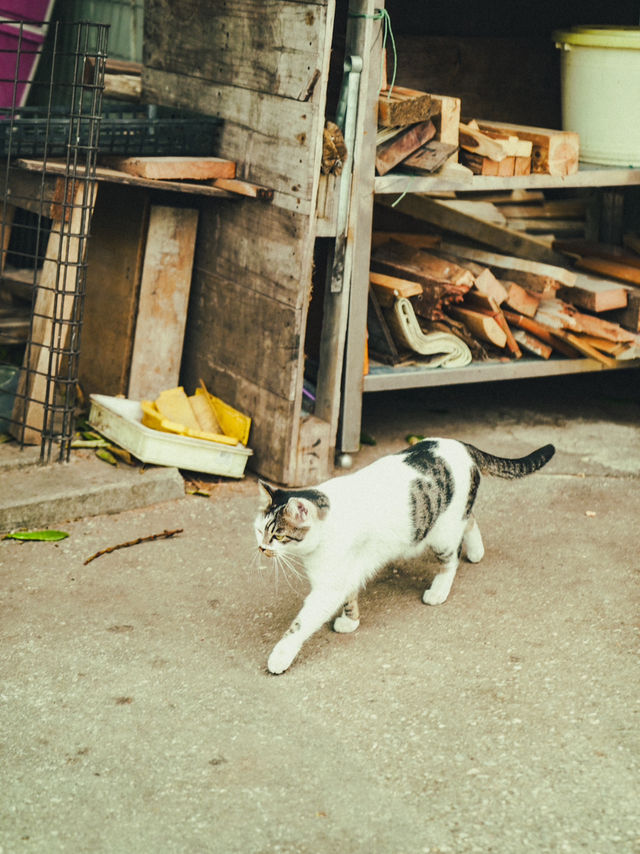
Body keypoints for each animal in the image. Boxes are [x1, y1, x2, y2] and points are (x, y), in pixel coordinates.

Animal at [255, 442, 556, 676]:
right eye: (259, 530)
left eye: (278, 535)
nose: (261, 548)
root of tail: (463, 445)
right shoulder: (347, 571)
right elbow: (350, 596)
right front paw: (351, 622)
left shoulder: (329, 585)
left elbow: (300, 625)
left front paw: (279, 657)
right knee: (470, 519)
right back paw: (477, 551)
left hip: (442, 534)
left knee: (452, 559)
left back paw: (439, 590)